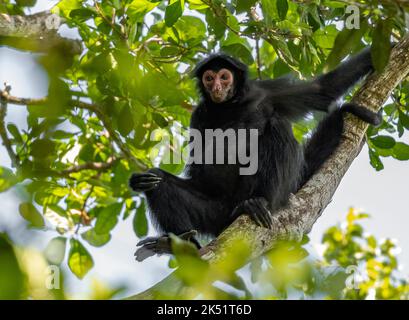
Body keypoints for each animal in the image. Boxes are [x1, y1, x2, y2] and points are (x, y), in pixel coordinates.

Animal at [129, 48, 380, 262]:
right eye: (209, 78)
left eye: (224, 77)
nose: (216, 88)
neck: (229, 106)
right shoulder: (200, 114)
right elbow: (199, 168)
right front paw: (139, 180)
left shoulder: (265, 92)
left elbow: (322, 90)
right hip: (214, 211)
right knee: (157, 182)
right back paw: (185, 247)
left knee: (277, 124)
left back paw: (258, 202)